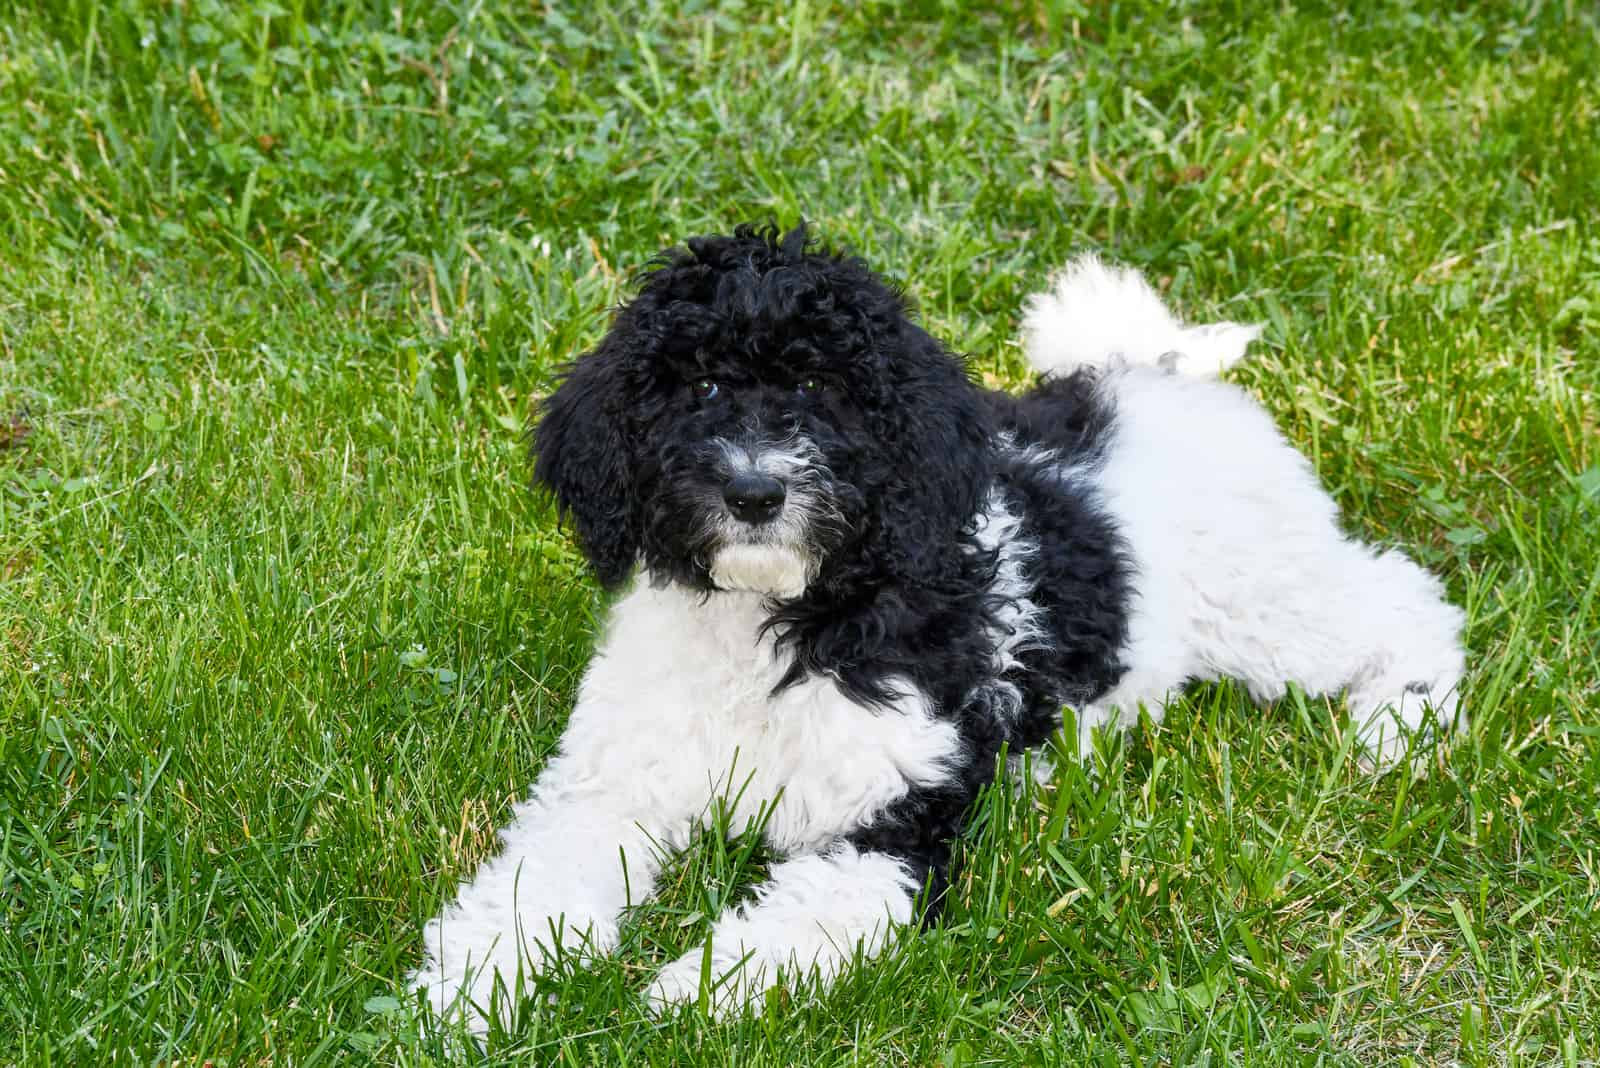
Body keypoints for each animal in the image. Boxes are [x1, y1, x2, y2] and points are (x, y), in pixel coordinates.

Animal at [409, 223, 1465, 1023]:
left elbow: (803, 913)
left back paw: (1402, 723)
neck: (785, 623)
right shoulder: (610, 784)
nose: (754, 492)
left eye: (822, 391)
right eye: (698, 386)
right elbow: (533, 879)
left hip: (1265, 603)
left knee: (1404, 599)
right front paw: (468, 991)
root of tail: (1142, 375)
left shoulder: (901, 819)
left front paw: (688, 995)